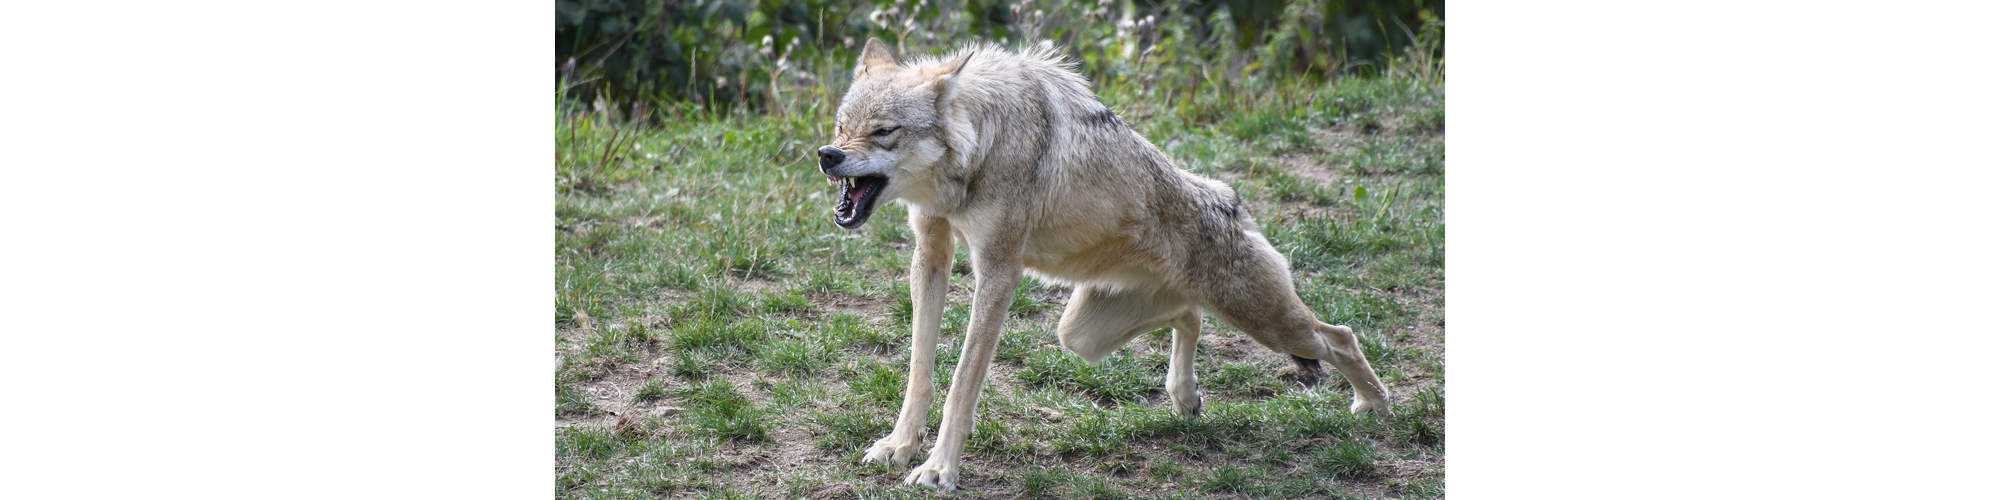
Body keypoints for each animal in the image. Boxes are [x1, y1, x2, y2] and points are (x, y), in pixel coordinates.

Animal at [815, 38, 1391, 491]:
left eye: (883, 131)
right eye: (842, 126)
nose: (827, 155)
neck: (980, 145)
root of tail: (1230, 200)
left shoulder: (998, 271)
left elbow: (961, 383)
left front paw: (938, 470)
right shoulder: (930, 252)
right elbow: (920, 370)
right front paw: (900, 446)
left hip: (1269, 324)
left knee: (1340, 336)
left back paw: (1375, 407)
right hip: (1081, 335)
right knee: (1189, 315)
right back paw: (1185, 397)